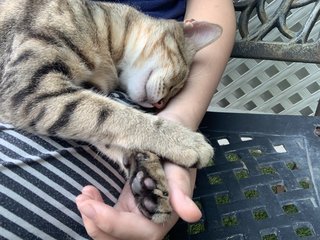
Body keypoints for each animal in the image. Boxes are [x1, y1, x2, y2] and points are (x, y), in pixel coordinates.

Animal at [0, 0, 221, 223]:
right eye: (177, 83)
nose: (159, 105)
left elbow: (103, 128)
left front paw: (147, 177)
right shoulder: (31, 87)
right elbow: (116, 115)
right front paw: (184, 141)